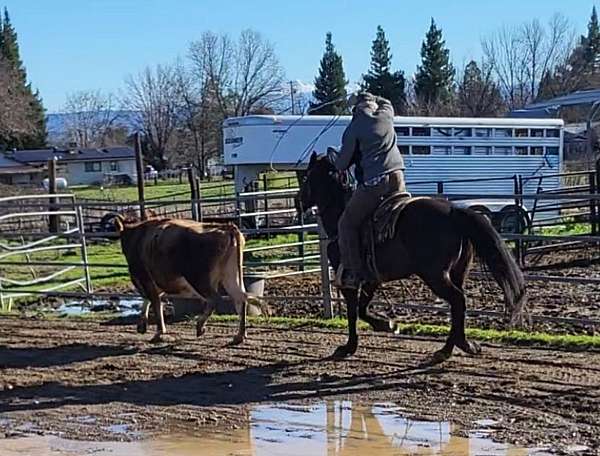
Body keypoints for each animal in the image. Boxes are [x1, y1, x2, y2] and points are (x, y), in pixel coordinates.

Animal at [115, 216, 248, 342]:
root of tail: (226, 227)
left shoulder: (144, 278)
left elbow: (155, 302)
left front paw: (159, 332)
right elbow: (149, 299)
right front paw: (142, 325)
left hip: (198, 279)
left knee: (215, 299)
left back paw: (200, 326)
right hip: (230, 275)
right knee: (240, 298)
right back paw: (239, 335)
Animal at [300, 153, 524, 364]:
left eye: (306, 176)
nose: (299, 201)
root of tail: (453, 211)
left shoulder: (350, 280)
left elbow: (353, 312)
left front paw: (349, 346)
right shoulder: (372, 278)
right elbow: (362, 308)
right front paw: (387, 324)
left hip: (435, 275)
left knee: (457, 300)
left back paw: (451, 348)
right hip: (458, 271)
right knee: (458, 304)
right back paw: (455, 347)